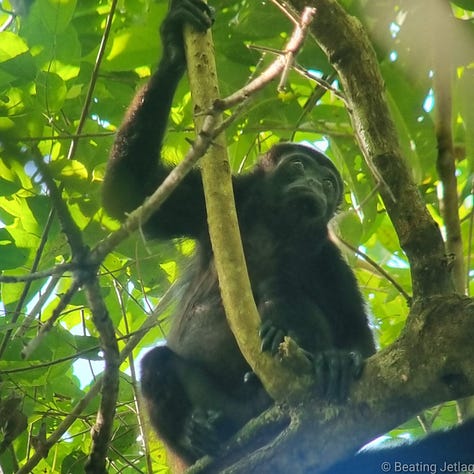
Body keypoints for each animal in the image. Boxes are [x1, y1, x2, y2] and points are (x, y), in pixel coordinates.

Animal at [103, 0, 474, 472]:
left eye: (329, 183)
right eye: (299, 166)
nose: (315, 184)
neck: (275, 228)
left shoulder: (327, 259)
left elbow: (359, 336)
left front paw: (341, 358)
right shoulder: (212, 202)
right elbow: (129, 193)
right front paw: (172, 47)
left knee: (282, 293)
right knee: (155, 364)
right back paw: (200, 437)